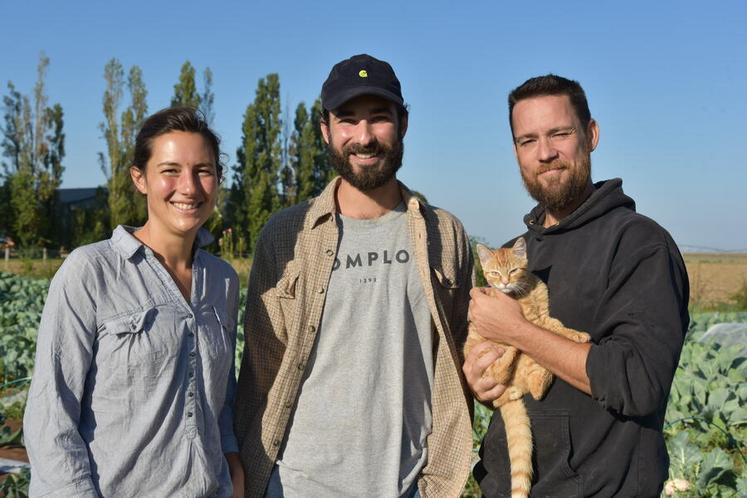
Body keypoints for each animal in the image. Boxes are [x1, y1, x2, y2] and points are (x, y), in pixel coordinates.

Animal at [468, 237, 592, 498]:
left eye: (513, 270)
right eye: (494, 273)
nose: (504, 283)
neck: (525, 290)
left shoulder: (543, 316)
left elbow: (557, 325)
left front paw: (575, 333)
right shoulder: (534, 321)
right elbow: (556, 329)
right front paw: (578, 335)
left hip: (531, 365)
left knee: (532, 389)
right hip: (489, 353)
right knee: (500, 372)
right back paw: (512, 352)